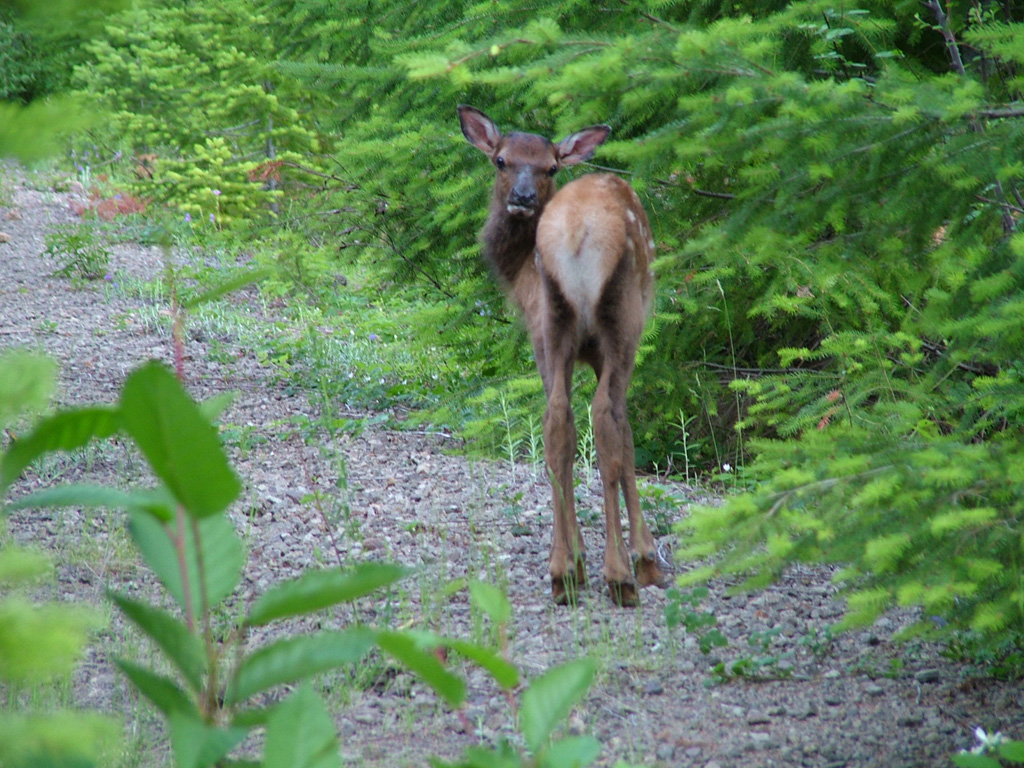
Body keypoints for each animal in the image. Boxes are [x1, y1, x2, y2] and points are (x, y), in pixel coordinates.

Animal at [457, 105, 666, 607]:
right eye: (501, 160)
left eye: (550, 166)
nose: (522, 196)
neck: (515, 275)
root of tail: (574, 231)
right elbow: (626, 437)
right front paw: (645, 557)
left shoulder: (540, 333)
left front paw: (578, 559)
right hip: (622, 318)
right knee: (605, 418)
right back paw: (620, 576)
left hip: (556, 324)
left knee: (556, 420)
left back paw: (563, 571)